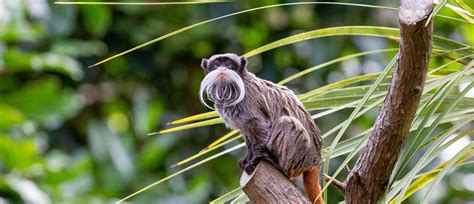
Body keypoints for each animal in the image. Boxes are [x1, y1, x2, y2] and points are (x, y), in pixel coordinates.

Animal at [198, 53, 324, 203]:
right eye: (217, 64)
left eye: (228, 64)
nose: (222, 69)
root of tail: (315, 159)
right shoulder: (244, 124)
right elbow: (249, 135)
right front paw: (248, 158)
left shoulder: (249, 103)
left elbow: (261, 126)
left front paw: (255, 160)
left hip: (303, 157)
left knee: (287, 122)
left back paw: (279, 165)